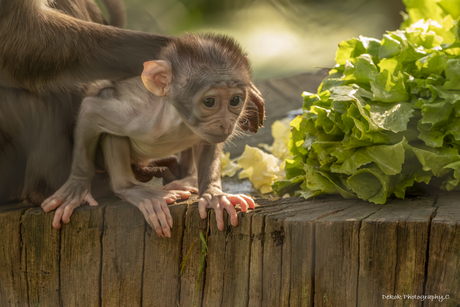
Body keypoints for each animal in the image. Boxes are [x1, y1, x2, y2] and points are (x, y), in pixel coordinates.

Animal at [41, 33, 264, 238]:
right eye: (209, 102)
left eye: (235, 100)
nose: (226, 122)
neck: (178, 119)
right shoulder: (138, 118)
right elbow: (89, 110)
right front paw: (76, 186)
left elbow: (207, 142)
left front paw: (213, 194)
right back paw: (134, 190)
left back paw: (188, 180)